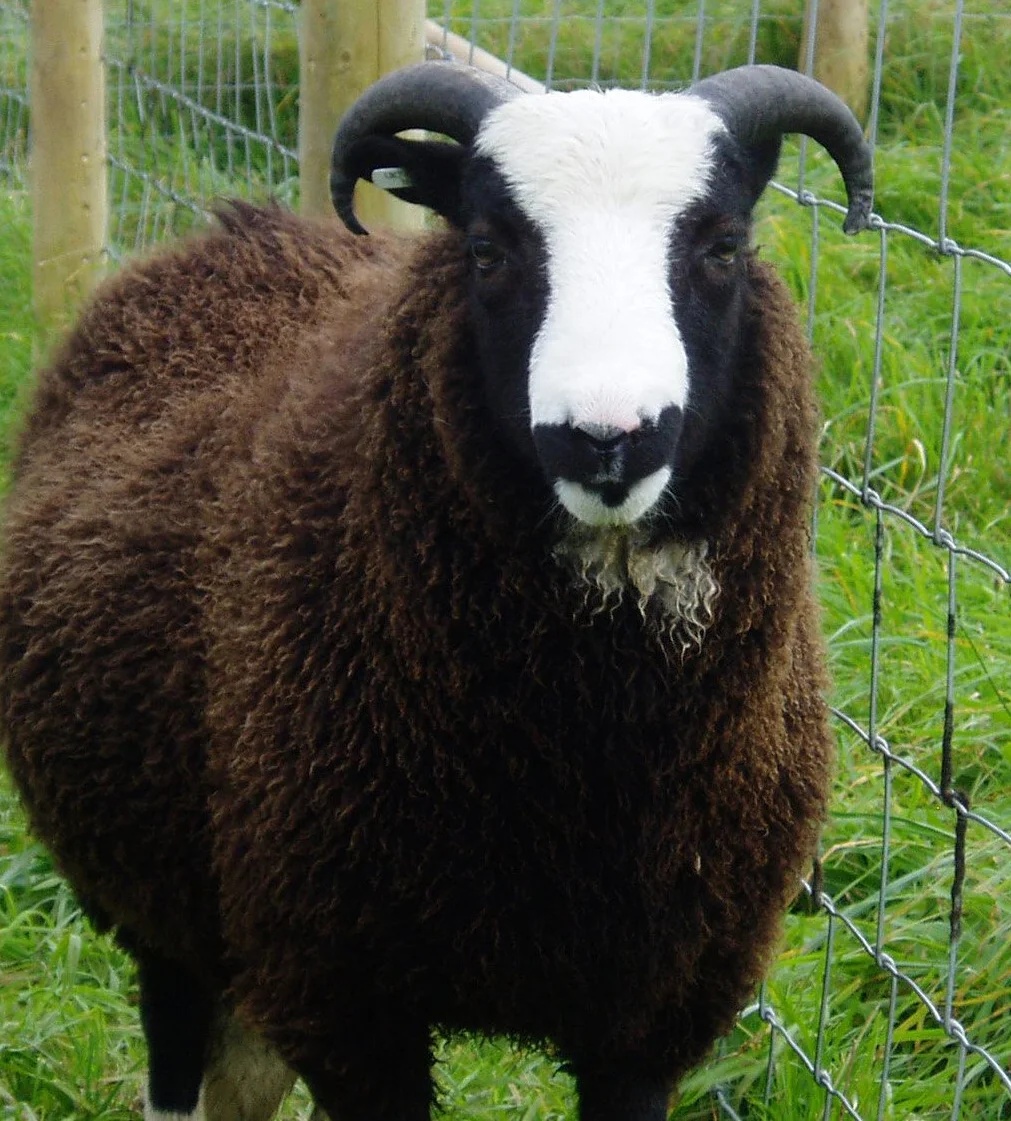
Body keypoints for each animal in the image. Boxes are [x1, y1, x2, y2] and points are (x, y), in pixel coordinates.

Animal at [0, 61, 872, 1121]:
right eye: (487, 250)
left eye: (723, 247)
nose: (606, 440)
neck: (590, 770)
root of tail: (236, 231)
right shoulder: (346, 997)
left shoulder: (651, 1015)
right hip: (159, 904)